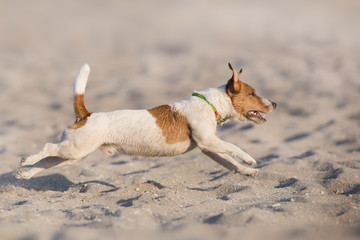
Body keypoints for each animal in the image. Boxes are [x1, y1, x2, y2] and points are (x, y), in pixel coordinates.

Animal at [15, 62, 278, 179]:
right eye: (253, 93)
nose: (274, 104)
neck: (210, 102)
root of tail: (86, 115)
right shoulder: (208, 141)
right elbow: (233, 148)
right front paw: (250, 159)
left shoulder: (208, 147)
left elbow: (229, 162)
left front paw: (247, 170)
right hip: (75, 148)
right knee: (48, 148)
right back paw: (26, 160)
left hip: (73, 155)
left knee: (48, 161)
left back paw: (26, 173)